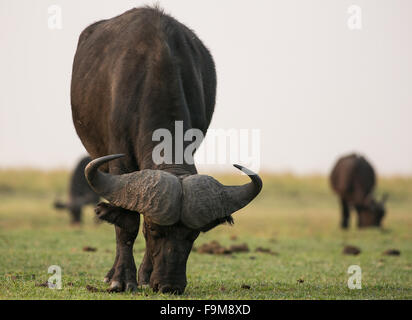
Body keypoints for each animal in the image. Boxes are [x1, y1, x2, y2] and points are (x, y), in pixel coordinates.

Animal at [70, 5, 260, 296]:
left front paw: (146, 277)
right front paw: (122, 279)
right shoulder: (118, 161)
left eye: (193, 234)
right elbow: (126, 223)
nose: (170, 285)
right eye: (153, 229)